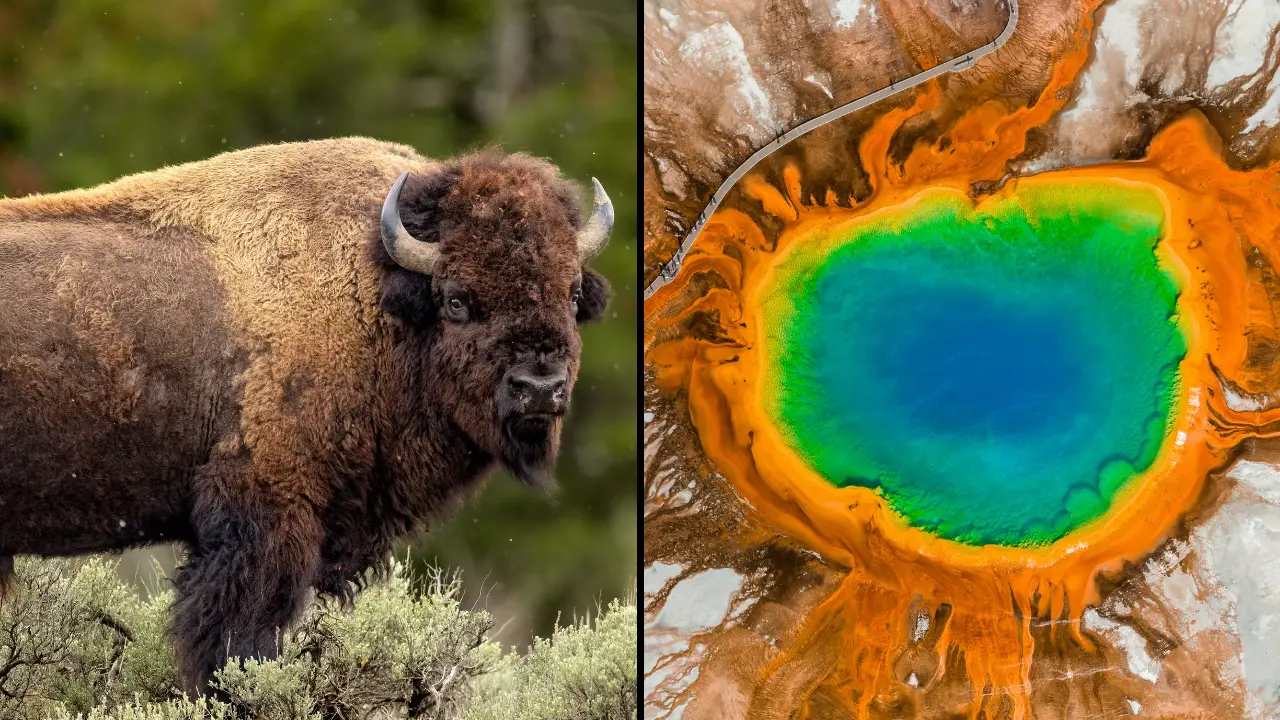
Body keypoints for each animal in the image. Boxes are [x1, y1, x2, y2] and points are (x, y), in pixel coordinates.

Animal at [0, 138, 613, 690]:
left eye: (570, 292)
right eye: (457, 299)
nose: (539, 388)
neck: (373, 290)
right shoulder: (265, 513)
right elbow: (237, 642)